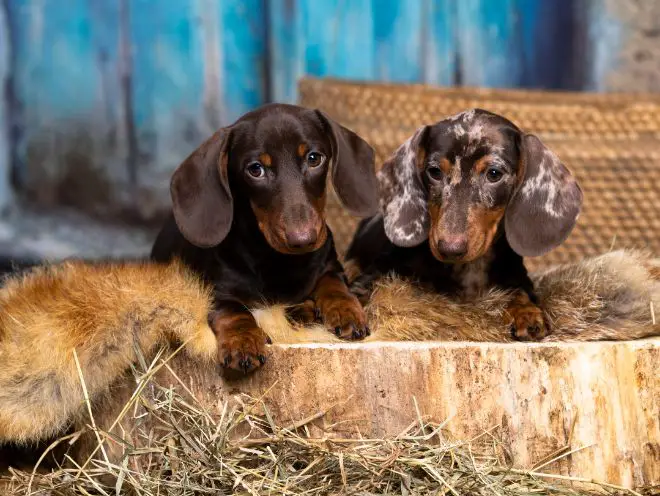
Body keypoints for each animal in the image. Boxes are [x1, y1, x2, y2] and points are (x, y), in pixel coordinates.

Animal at [150, 103, 376, 372]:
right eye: (255, 169)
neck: (278, 261)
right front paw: (243, 340)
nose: (303, 239)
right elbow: (233, 310)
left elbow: (334, 283)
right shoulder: (213, 290)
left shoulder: (330, 264)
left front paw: (345, 309)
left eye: (314, 158)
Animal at [346, 108, 584, 340]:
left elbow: (520, 290)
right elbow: (363, 290)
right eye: (434, 172)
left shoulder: (517, 275)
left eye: (494, 174)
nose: (450, 249)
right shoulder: (379, 271)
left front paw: (527, 312)